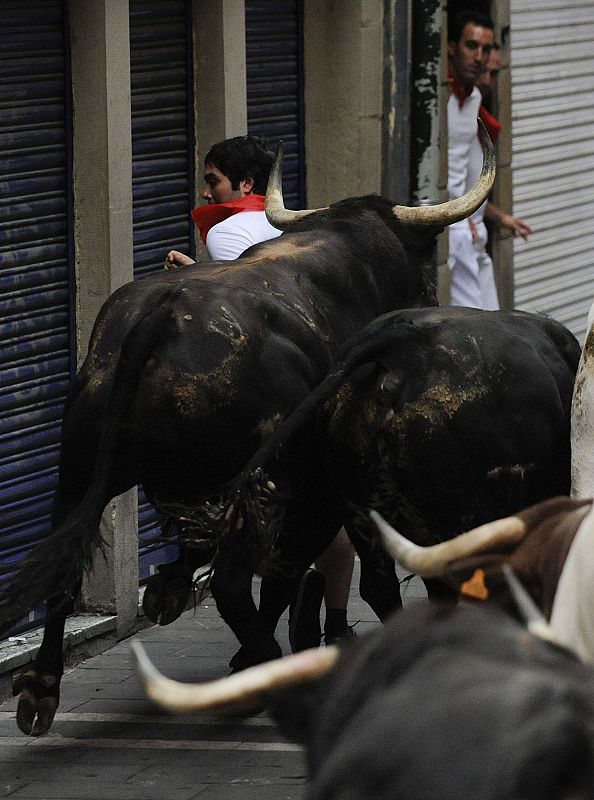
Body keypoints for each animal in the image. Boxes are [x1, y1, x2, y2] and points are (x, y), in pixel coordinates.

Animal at [0, 133, 492, 736]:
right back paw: (265, 667)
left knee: (65, 570)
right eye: (423, 275)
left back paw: (43, 686)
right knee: (235, 584)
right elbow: (338, 575)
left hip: (80, 467)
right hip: (270, 485)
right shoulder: (330, 491)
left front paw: (167, 589)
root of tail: (160, 318)